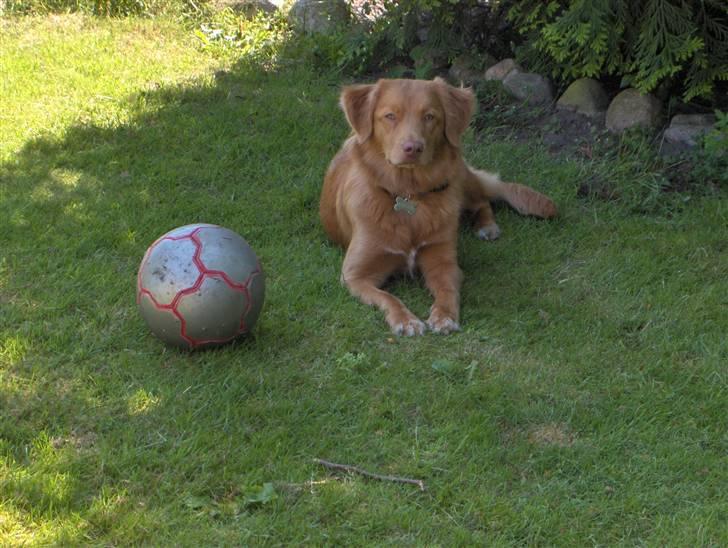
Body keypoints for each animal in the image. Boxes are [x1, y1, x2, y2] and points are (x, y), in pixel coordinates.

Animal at [320, 76, 556, 334]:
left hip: (459, 177)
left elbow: (447, 291)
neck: (408, 193)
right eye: (390, 116)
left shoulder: (443, 261)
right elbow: (387, 297)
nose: (413, 148)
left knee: (482, 199)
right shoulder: (355, 275)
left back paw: (487, 226)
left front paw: (444, 316)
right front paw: (405, 320)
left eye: (429, 116)